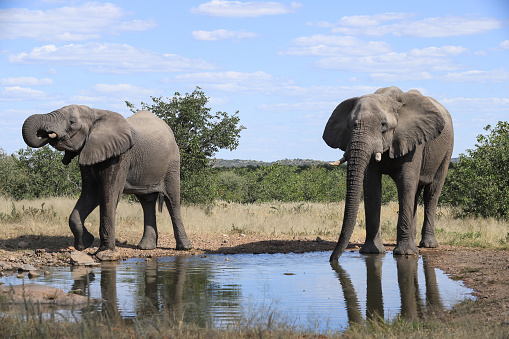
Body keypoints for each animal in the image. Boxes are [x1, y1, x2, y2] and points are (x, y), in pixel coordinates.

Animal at [21, 105, 192, 254]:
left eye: (71, 122)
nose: (44, 134)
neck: (95, 113)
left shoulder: (121, 155)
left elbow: (108, 194)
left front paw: (104, 253)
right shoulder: (90, 150)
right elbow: (91, 194)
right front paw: (84, 244)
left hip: (172, 163)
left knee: (172, 201)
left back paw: (184, 248)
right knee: (147, 201)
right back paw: (145, 247)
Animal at [322, 87, 452, 262]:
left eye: (383, 125)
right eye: (349, 125)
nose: (332, 260)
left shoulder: (413, 140)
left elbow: (406, 182)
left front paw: (405, 253)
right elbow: (371, 185)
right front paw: (371, 252)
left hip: (447, 150)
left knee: (431, 193)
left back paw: (428, 245)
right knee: (415, 194)